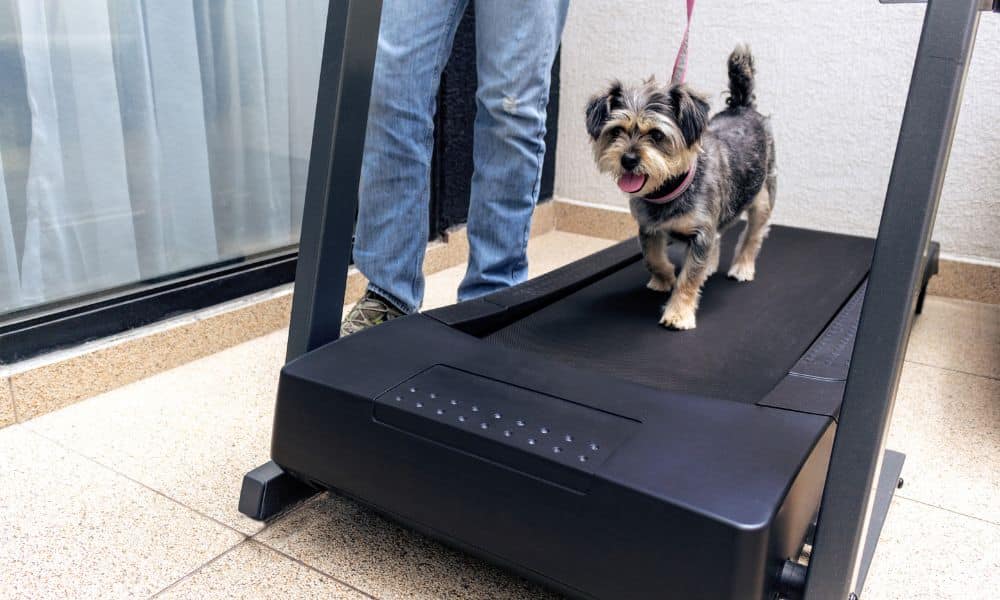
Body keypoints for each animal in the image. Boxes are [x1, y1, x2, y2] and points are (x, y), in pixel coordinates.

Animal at [584, 44, 776, 330]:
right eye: (616, 131)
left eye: (656, 135)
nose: (628, 159)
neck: (668, 190)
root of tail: (742, 107)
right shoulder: (648, 228)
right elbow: (653, 259)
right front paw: (664, 279)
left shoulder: (701, 232)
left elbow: (689, 278)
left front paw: (679, 312)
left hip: (763, 197)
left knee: (753, 235)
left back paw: (742, 266)